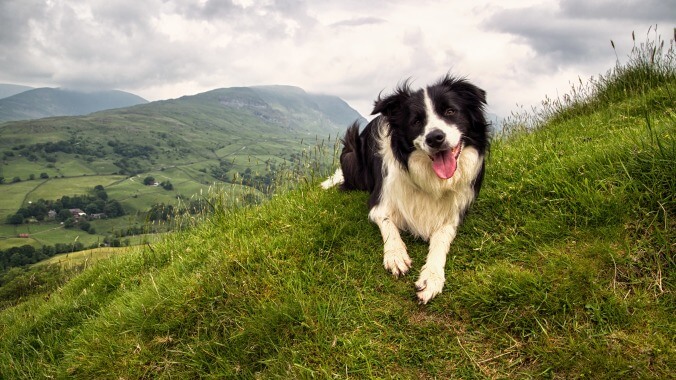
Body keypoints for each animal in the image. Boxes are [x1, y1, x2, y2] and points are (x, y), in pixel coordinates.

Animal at [320, 75, 486, 304]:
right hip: (351, 153)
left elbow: (441, 239)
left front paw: (431, 277)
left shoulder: (454, 213)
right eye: (416, 121)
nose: (435, 138)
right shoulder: (379, 202)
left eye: (450, 111)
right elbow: (388, 224)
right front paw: (396, 255)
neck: (430, 179)